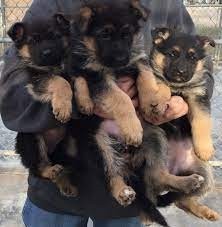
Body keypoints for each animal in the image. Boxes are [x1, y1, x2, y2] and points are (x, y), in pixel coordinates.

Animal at [7, 15, 78, 197]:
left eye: (54, 36)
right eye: (33, 41)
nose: (47, 53)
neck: (54, 65)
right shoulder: (37, 79)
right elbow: (59, 81)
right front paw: (63, 107)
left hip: (68, 145)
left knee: (64, 166)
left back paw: (65, 182)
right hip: (32, 140)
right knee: (37, 167)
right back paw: (49, 171)